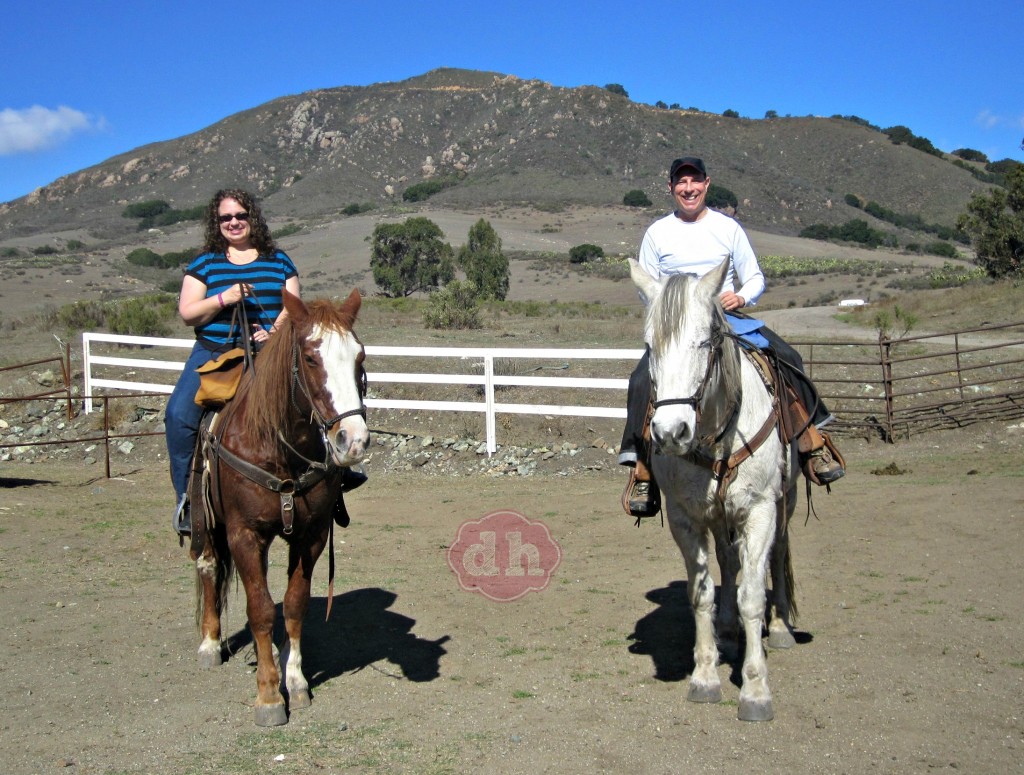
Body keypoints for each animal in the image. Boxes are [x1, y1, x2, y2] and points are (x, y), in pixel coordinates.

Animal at [189, 286, 372, 724]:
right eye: (310, 358)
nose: (353, 441)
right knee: (207, 564)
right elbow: (259, 608)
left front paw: (295, 680)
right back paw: (210, 643)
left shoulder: (310, 535)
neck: (279, 448)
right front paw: (269, 696)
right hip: (206, 519)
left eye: (359, 357)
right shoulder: (243, 533)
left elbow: (292, 604)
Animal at [630, 256, 798, 720]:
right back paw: (726, 631)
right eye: (650, 345)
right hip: (721, 515)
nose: (671, 432)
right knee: (726, 559)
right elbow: (701, 593)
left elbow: (752, 595)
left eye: (704, 342)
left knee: (777, 554)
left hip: (787, 500)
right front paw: (704, 676)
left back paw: (780, 627)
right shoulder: (686, 518)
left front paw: (755, 690)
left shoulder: (760, 510)